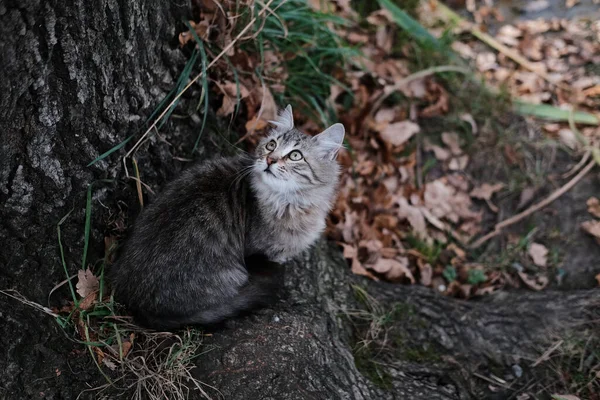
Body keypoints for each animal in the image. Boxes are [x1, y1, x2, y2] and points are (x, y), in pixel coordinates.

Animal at [110, 104, 344, 330]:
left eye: (295, 155)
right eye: (271, 145)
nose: (270, 159)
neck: (289, 203)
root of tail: (137, 303)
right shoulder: (263, 250)